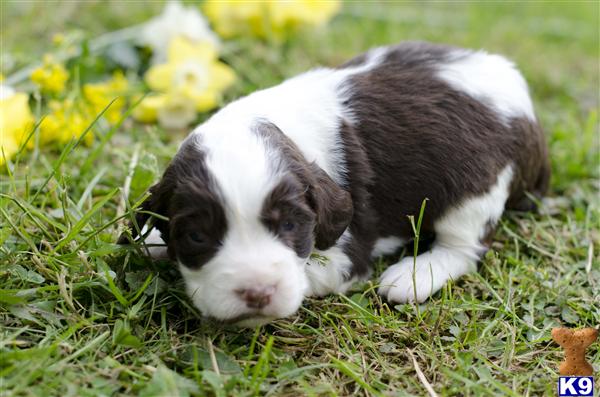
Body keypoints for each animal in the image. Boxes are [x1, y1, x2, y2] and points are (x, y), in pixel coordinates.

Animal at [124, 41, 552, 324]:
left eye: (291, 226)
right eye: (196, 236)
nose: (257, 294)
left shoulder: (347, 251)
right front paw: (154, 241)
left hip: (476, 185)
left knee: (465, 246)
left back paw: (412, 277)